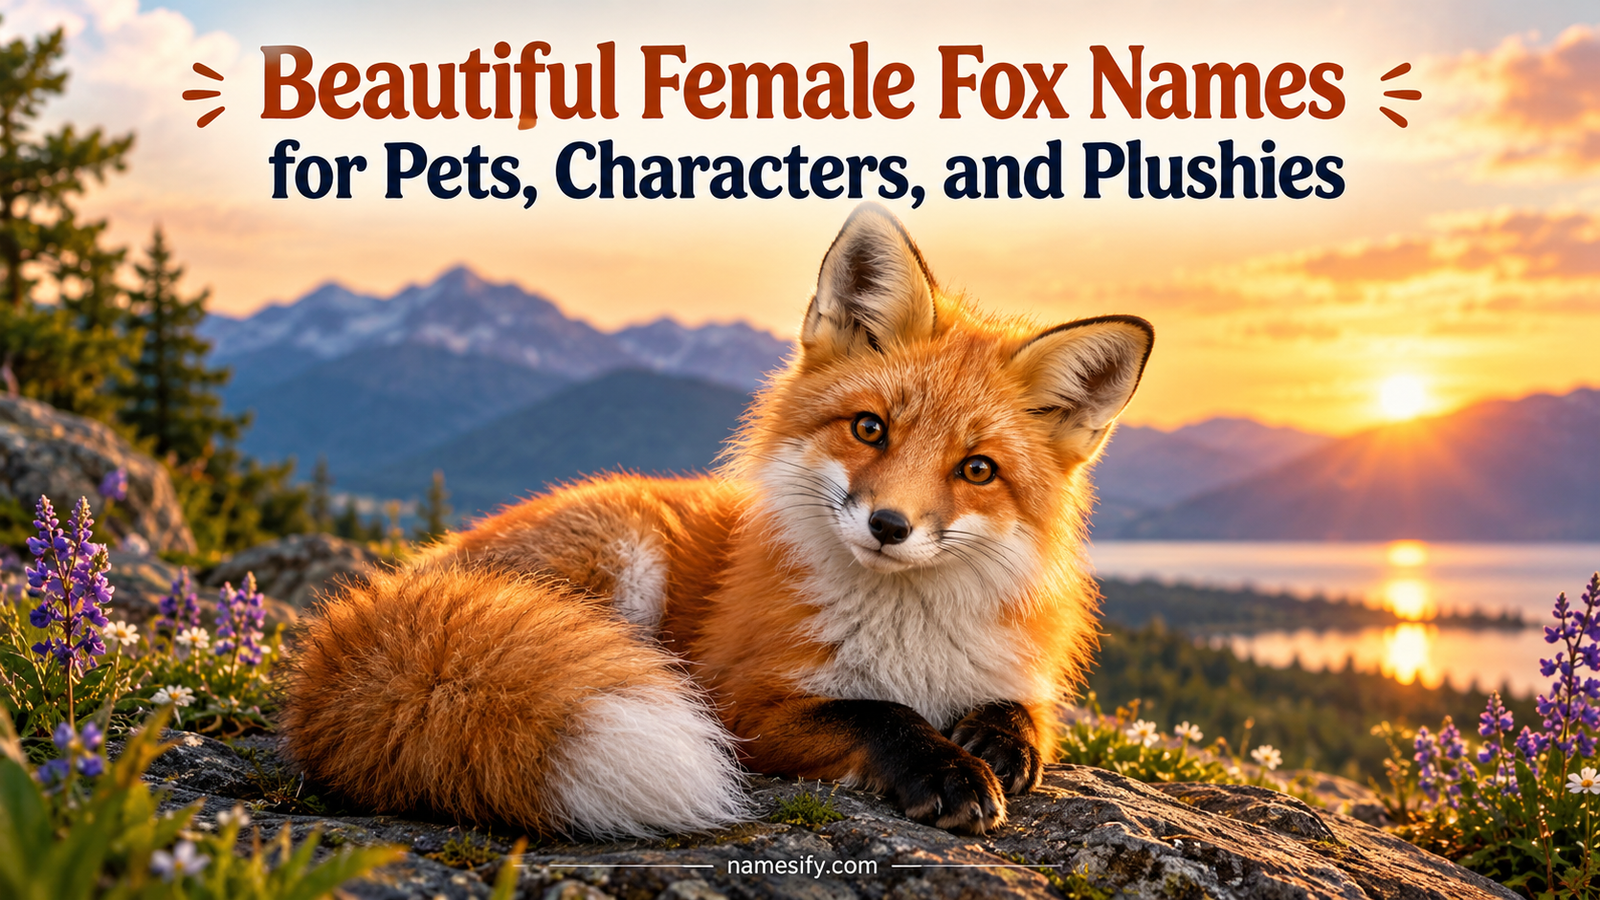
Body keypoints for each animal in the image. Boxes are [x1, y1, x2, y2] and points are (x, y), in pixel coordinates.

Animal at [280, 203, 1153, 838]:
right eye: (870, 428)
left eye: (977, 470)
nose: (889, 526)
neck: (909, 639)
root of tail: (398, 586)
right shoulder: (744, 700)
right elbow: (876, 713)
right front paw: (944, 768)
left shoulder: (1010, 664)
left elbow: (1024, 712)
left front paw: (999, 741)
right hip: (620, 563)